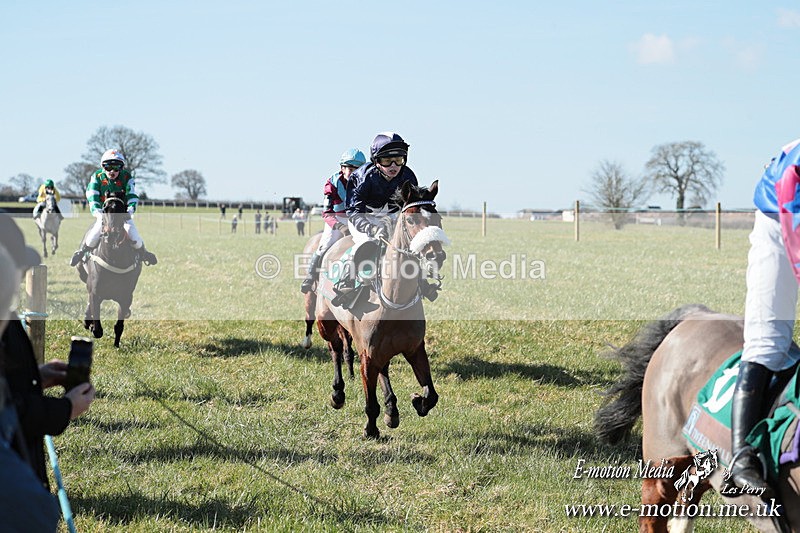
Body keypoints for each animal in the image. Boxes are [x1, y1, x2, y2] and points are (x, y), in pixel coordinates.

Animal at [76, 194, 142, 347]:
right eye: (105, 209)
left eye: (122, 209)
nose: (111, 235)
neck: (114, 259)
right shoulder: (95, 292)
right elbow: (98, 329)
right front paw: (91, 325)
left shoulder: (126, 297)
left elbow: (119, 326)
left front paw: (116, 344)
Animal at [313, 180, 449, 439]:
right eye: (411, 220)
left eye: (437, 218)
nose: (435, 254)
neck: (394, 299)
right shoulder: (367, 355)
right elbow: (370, 402)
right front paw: (371, 429)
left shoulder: (415, 349)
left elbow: (432, 395)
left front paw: (416, 401)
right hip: (325, 322)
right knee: (335, 350)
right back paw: (338, 393)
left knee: (383, 367)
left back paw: (391, 409)